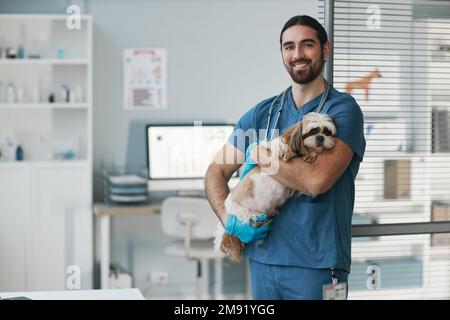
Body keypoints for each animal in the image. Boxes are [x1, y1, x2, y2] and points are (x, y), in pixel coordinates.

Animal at [215, 112, 338, 262]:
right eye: (313, 131)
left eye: (327, 132)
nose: (321, 138)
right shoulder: (274, 147)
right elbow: (275, 146)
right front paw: (287, 152)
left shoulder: (300, 187)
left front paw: (310, 156)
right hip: (244, 214)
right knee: (234, 232)